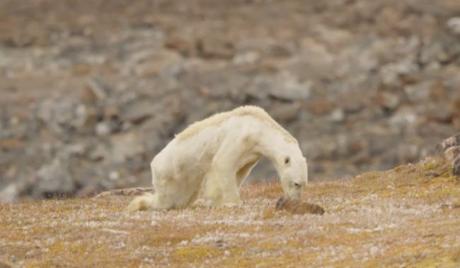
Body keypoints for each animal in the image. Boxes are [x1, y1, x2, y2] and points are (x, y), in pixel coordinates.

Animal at [127, 104, 310, 211]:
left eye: (304, 184)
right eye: (296, 183)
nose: (294, 202)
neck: (258, 127)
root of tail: (154, 163)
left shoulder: (252, 153)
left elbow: (239, 171)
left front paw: (216, 200)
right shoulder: (240, 137)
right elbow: (223, 163)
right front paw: (234, 202)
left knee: (182, 199)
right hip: (170, 175)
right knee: (166, 200)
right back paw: (138, 204)